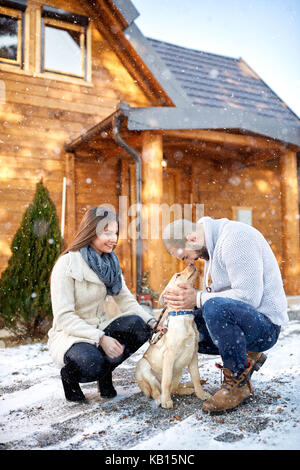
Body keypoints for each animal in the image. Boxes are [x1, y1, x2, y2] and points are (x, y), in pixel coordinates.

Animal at [135, 264, 210, 408]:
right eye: (178, 275)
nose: (192, 264)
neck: (184, 315)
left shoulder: (193, 353)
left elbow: (196, 377)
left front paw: (201, 394)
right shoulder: (169, 355)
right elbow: (167, 380)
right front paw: (166, 401)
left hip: (179, 370)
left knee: (174, 389)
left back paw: (187, 390)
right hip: (144, 367)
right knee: (155, 391)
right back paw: (160, 399)